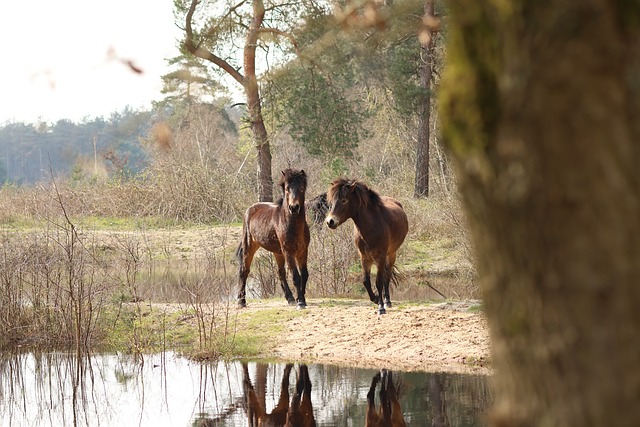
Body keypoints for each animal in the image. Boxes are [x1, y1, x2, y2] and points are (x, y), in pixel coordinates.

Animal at [239, 169, 312, 310]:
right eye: (287, 189)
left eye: (301, 188)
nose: (294, 207)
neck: (293, 224)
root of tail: (250, 210)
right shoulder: (289, 252)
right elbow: (296, 276)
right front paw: (300, 302)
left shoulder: (303, 251)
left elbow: (304, 275)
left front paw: (302, 299)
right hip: (249, 247)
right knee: (244, 271)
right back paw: (241, 301)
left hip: (278, 253)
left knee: (280, 273)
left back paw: (290, 298)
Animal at [324, 179, 410, 316]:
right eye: (331, 202)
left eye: (344, 200)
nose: (330, 221)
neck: (371, 227)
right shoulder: (364, 258)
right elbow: (366, 281)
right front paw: (375, 298)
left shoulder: (380, 257)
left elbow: (379, 281)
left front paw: (381, 307)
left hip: (391, 254)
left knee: (387, 276)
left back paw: (387, 301)